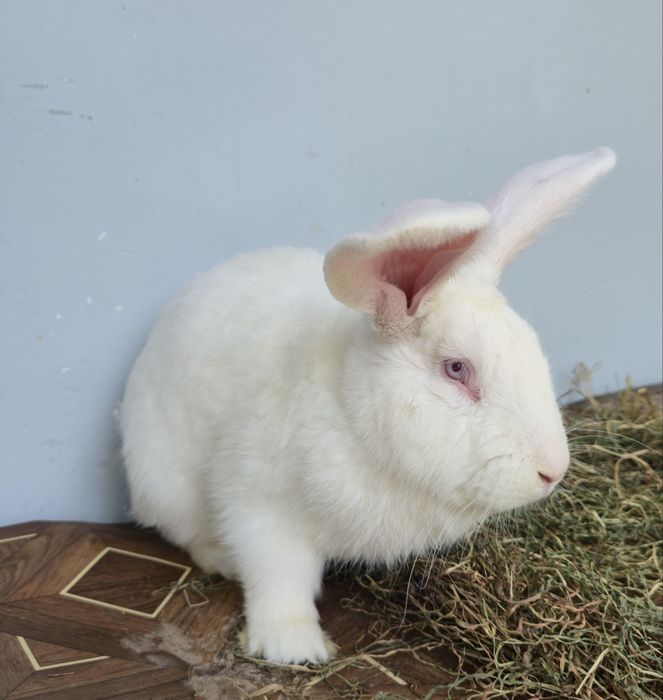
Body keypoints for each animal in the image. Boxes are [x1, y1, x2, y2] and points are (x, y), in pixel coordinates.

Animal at [120, 147, 616, 664]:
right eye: (457, 369)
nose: (552, 471)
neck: (350, 410)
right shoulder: (260, 505)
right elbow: (277, 579)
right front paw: (294, 648)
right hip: (167, 481)